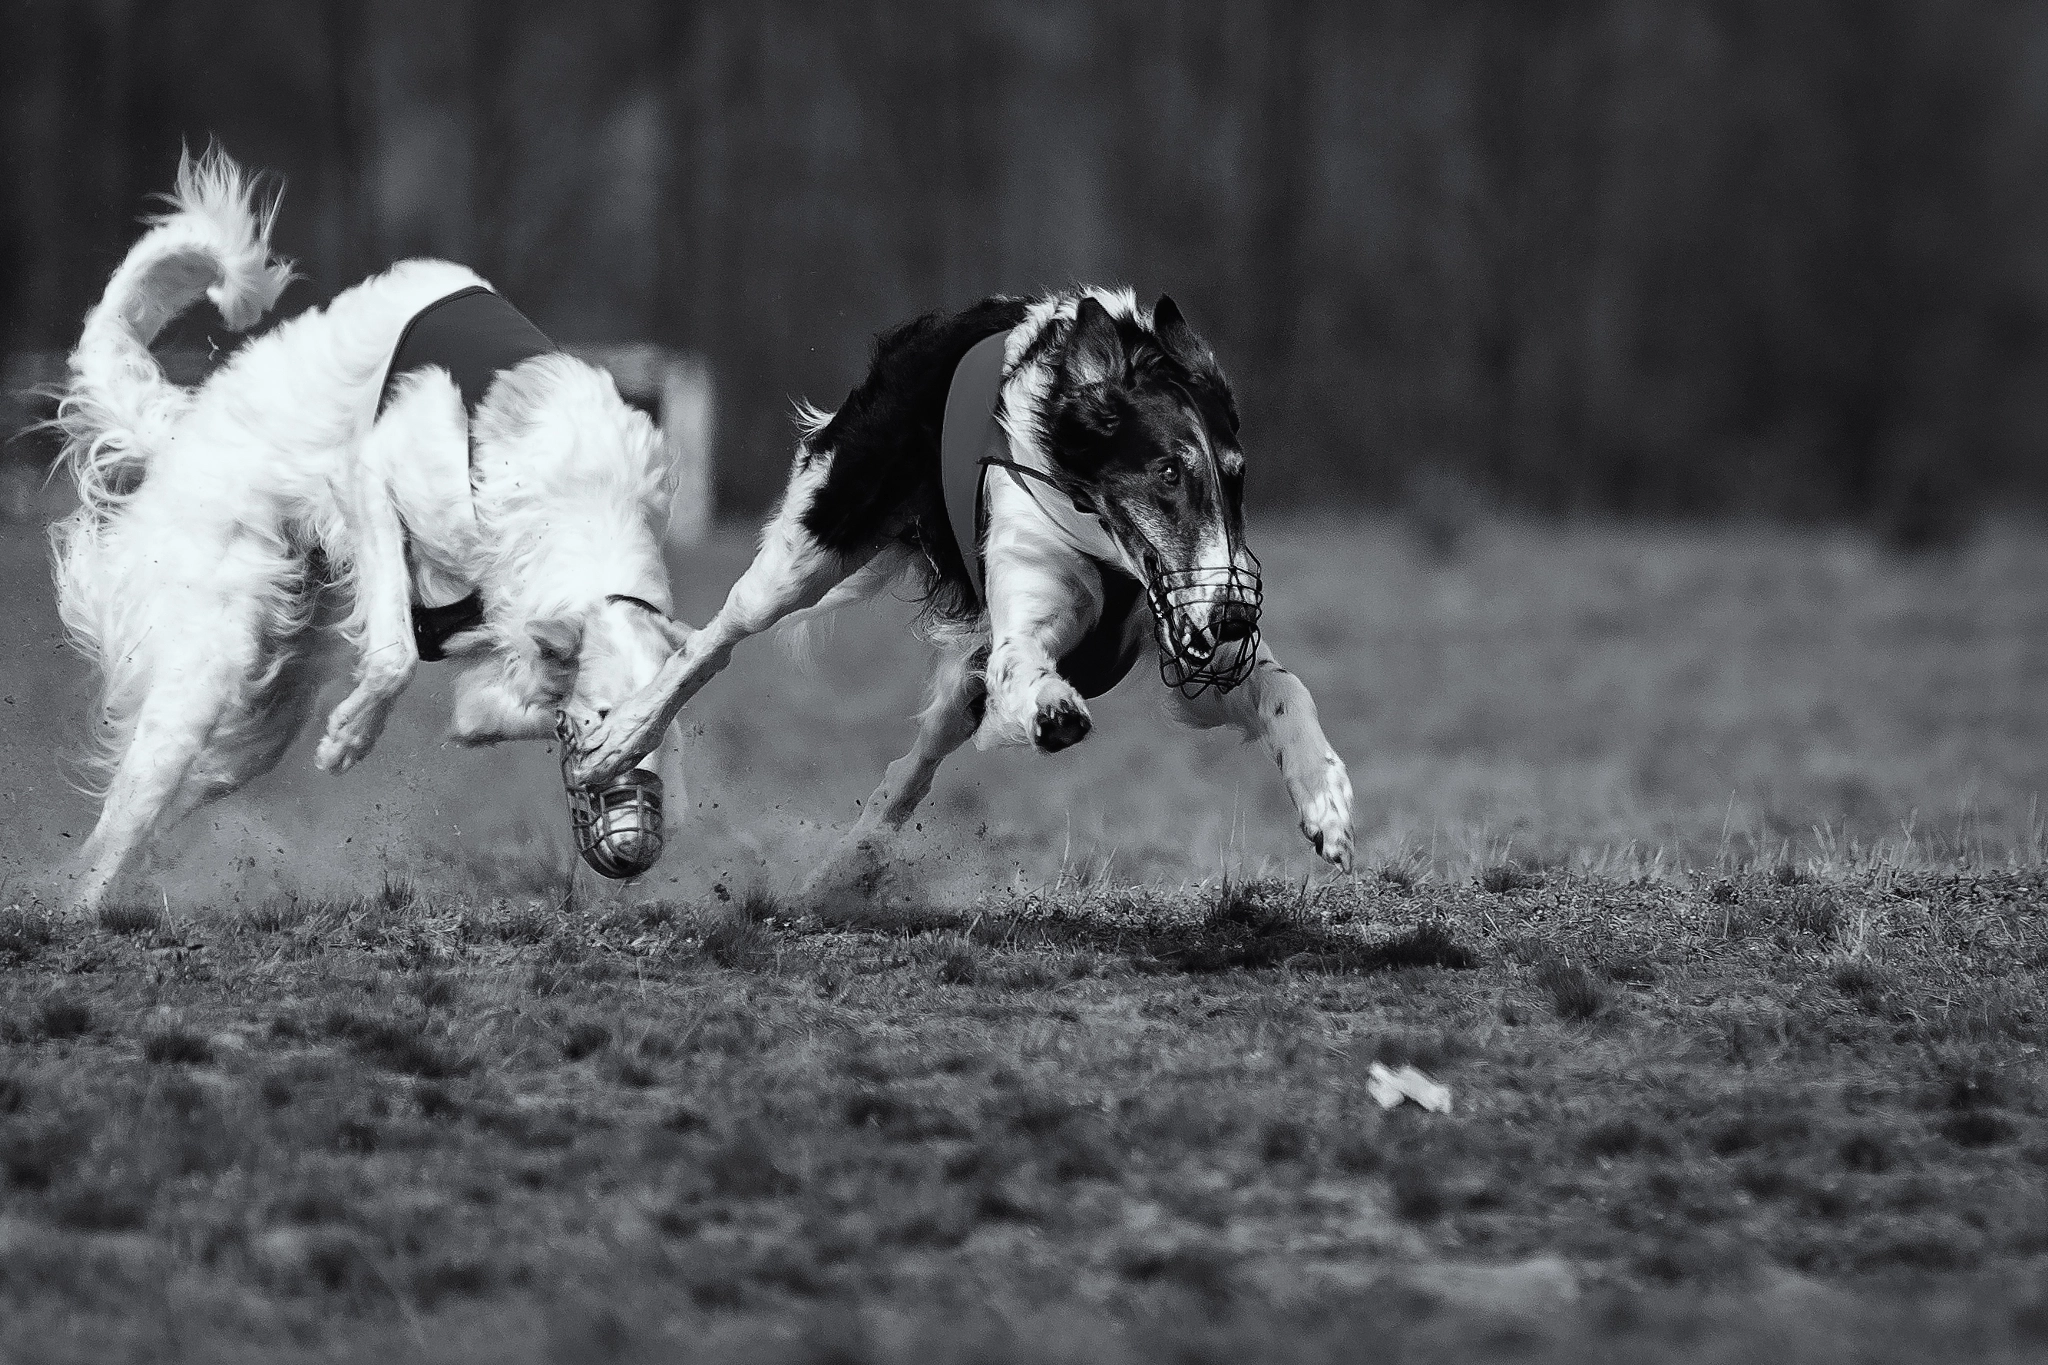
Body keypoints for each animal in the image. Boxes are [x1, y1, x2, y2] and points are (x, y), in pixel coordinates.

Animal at [44, 152, 688, 908]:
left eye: (657, 729)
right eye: (602, 718)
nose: (636, 850)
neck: (583, 497)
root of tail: (180, 429)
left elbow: (484, 706)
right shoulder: (371, 476)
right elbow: (394, 654)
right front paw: (351, 736)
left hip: (258, 712)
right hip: (205, 665)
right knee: (107, 841)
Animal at [569, 292, 1351, 875]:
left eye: (1236, 477)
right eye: (1166, 472)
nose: (1235, 619)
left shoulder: (1190, 643)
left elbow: (1283, 686)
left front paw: (1326, 798)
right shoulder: (1029, 623)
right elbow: (1025, 665)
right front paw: (1051, 705)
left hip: (952, 686)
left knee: (908, 768)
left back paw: (845, 872)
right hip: (810, 545)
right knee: (711, 642)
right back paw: (616, 744)